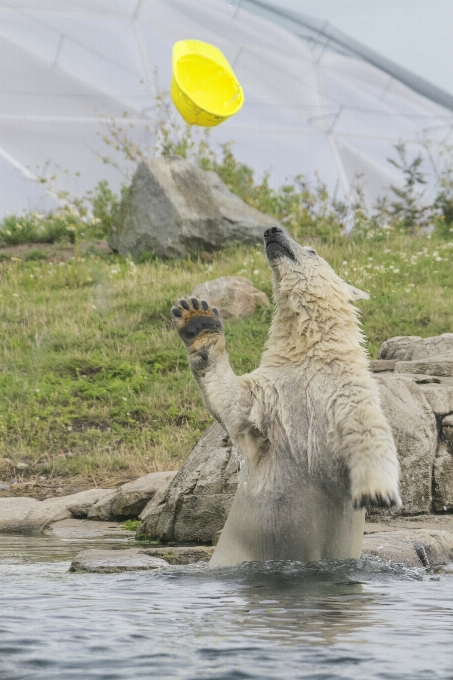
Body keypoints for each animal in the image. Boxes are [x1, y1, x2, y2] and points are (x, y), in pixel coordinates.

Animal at [170, 226, 400, 564]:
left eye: (312, 250)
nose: (272, 230)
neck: (310, 357)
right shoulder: (269, 391)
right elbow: (232, 400)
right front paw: (198, 321)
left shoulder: (347, 390)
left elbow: (366, 430)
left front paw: (377, 493)